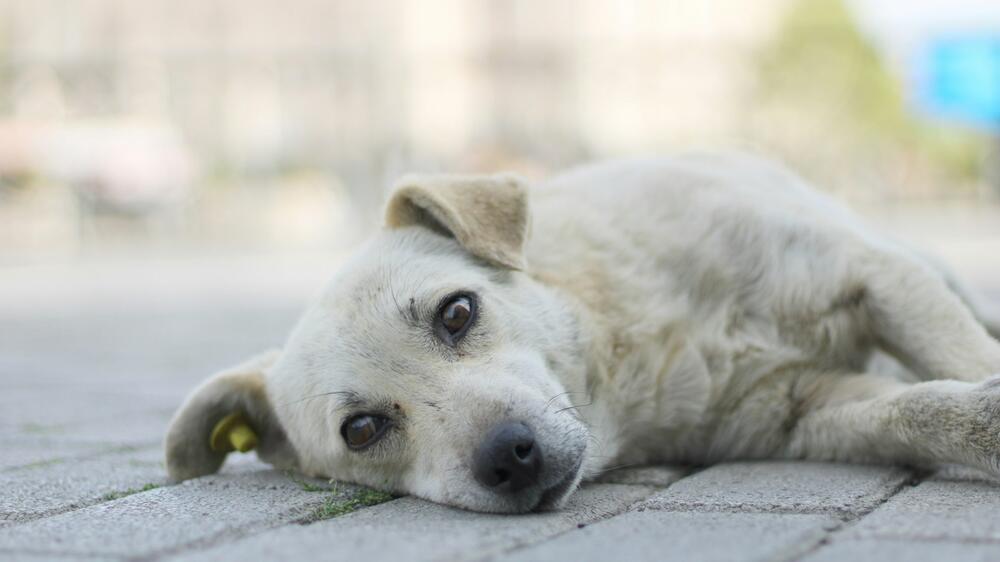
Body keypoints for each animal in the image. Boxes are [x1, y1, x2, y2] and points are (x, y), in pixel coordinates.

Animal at [164, 151, 1000, 510]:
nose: (510, 457)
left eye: (457, 312)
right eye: (362, 430)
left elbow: (961, 359)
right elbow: (922, 407)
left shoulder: (872, 272)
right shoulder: (805, 413)